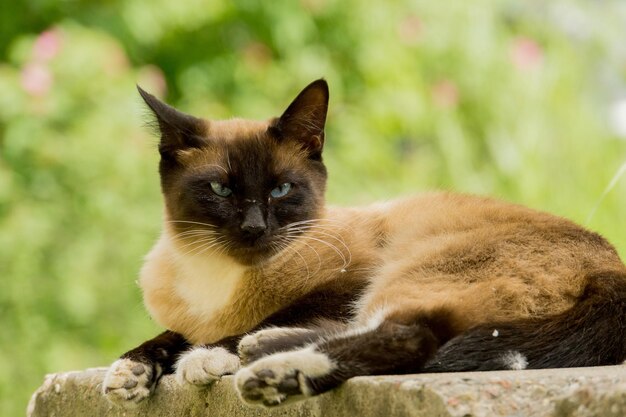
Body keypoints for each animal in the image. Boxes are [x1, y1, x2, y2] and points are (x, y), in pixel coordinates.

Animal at [102, 79, 624, 406]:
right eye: (221, 190)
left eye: (281, 189)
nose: (254, 228)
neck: (218, 282)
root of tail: (613, 267)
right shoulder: (193, 320)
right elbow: (170, 336)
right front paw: (130, 373)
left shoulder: (348, 283)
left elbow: (263, 320)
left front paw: (205, 358)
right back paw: (263, 350)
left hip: (410, 270)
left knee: (412, 336)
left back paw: (273, 373)